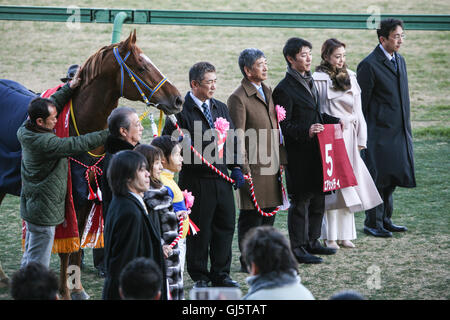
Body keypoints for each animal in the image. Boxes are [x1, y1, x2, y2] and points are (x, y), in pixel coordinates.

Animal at [0, 30, 183, 300]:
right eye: (141, 66)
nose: (178, 99)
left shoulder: (87, 198)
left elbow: (76, 249)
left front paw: (78, 290)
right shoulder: (69, 201)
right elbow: (68, 249)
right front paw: (65, 292)